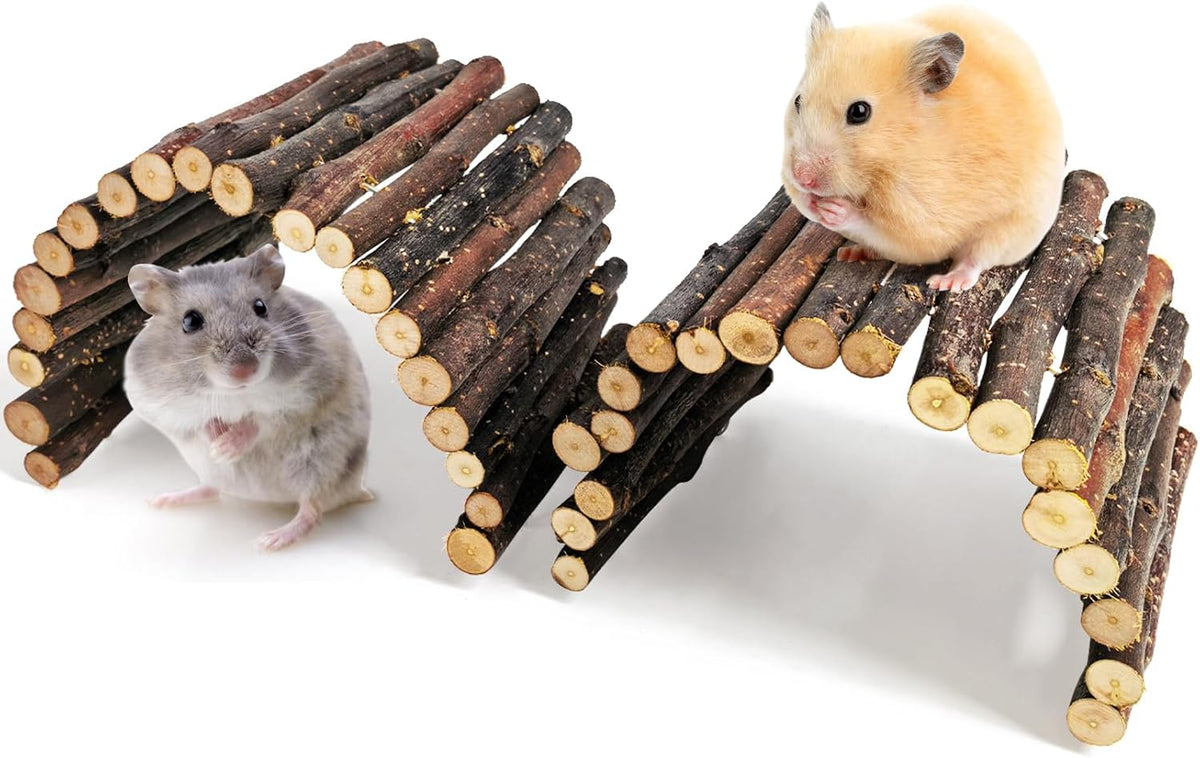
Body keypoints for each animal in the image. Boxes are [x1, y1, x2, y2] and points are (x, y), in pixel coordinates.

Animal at [124, 244, 371, 551]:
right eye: (190, 321)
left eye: (260, 307)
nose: (245, 370)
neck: (235, 394)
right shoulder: (157, 404)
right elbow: (200, 422)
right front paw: (216, 445)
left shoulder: (308, 395)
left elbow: (260, 421)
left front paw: (225, 447)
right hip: (213, 473)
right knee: (212, 490)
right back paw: (163, 500)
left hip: (322, 468)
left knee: (311, 509)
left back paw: (270, 541)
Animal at [781, 4, 1066, 291]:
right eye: (797, 101)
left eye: (859, 112)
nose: (803, 177)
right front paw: (808, 200)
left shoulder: (925, 217)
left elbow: (889, 230)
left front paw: (836, 209)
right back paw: (852, 252)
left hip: (1009, 228)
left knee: (976, 259)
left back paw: (947, 282)